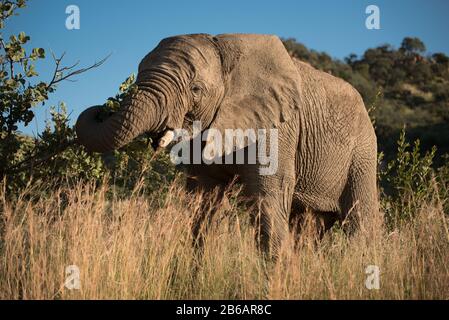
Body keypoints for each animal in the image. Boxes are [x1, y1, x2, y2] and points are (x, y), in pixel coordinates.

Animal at [77, 33, 378, 258]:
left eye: (196, 90)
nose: (101, 109)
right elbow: (202, 201)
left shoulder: (278, 126)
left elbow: (268, 195)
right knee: (308, 226)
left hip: (363, 151)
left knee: (359, 221)